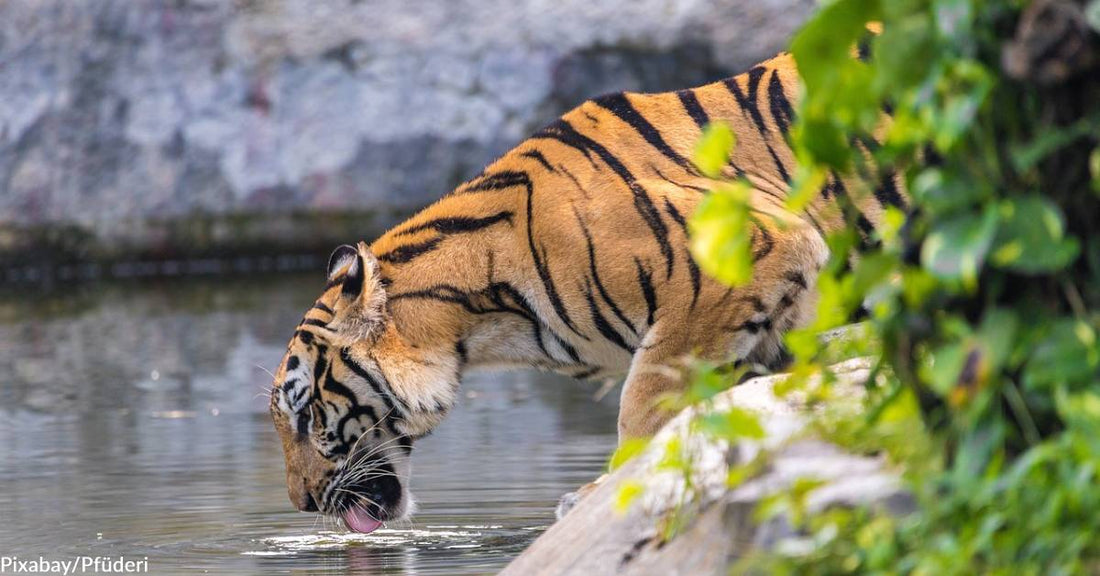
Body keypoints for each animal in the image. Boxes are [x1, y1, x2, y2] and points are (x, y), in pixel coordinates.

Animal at [268, 47, 906, 533]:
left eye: (305, 414)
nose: (301, 503)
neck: (489, 323)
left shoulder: (748, 249)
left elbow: (643, 402)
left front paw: (601, 490)